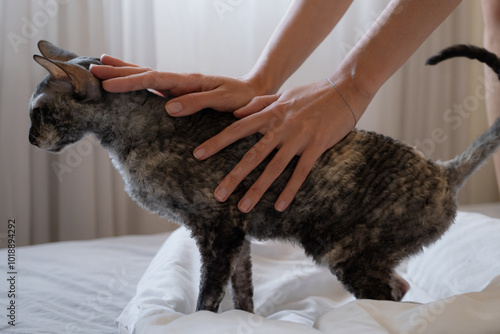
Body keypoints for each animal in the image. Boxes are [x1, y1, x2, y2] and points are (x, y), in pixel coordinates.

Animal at [29, 41, 500, 314]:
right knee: (400, 287)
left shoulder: (218, 229)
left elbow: (208, 297)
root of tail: (442, 171)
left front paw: (204, 319)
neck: (129, 135)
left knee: (390, 302)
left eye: (37, 113)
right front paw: (246, 319)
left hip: (346, 254)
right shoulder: (236, 233)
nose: (30, 139)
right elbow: (242, 291)